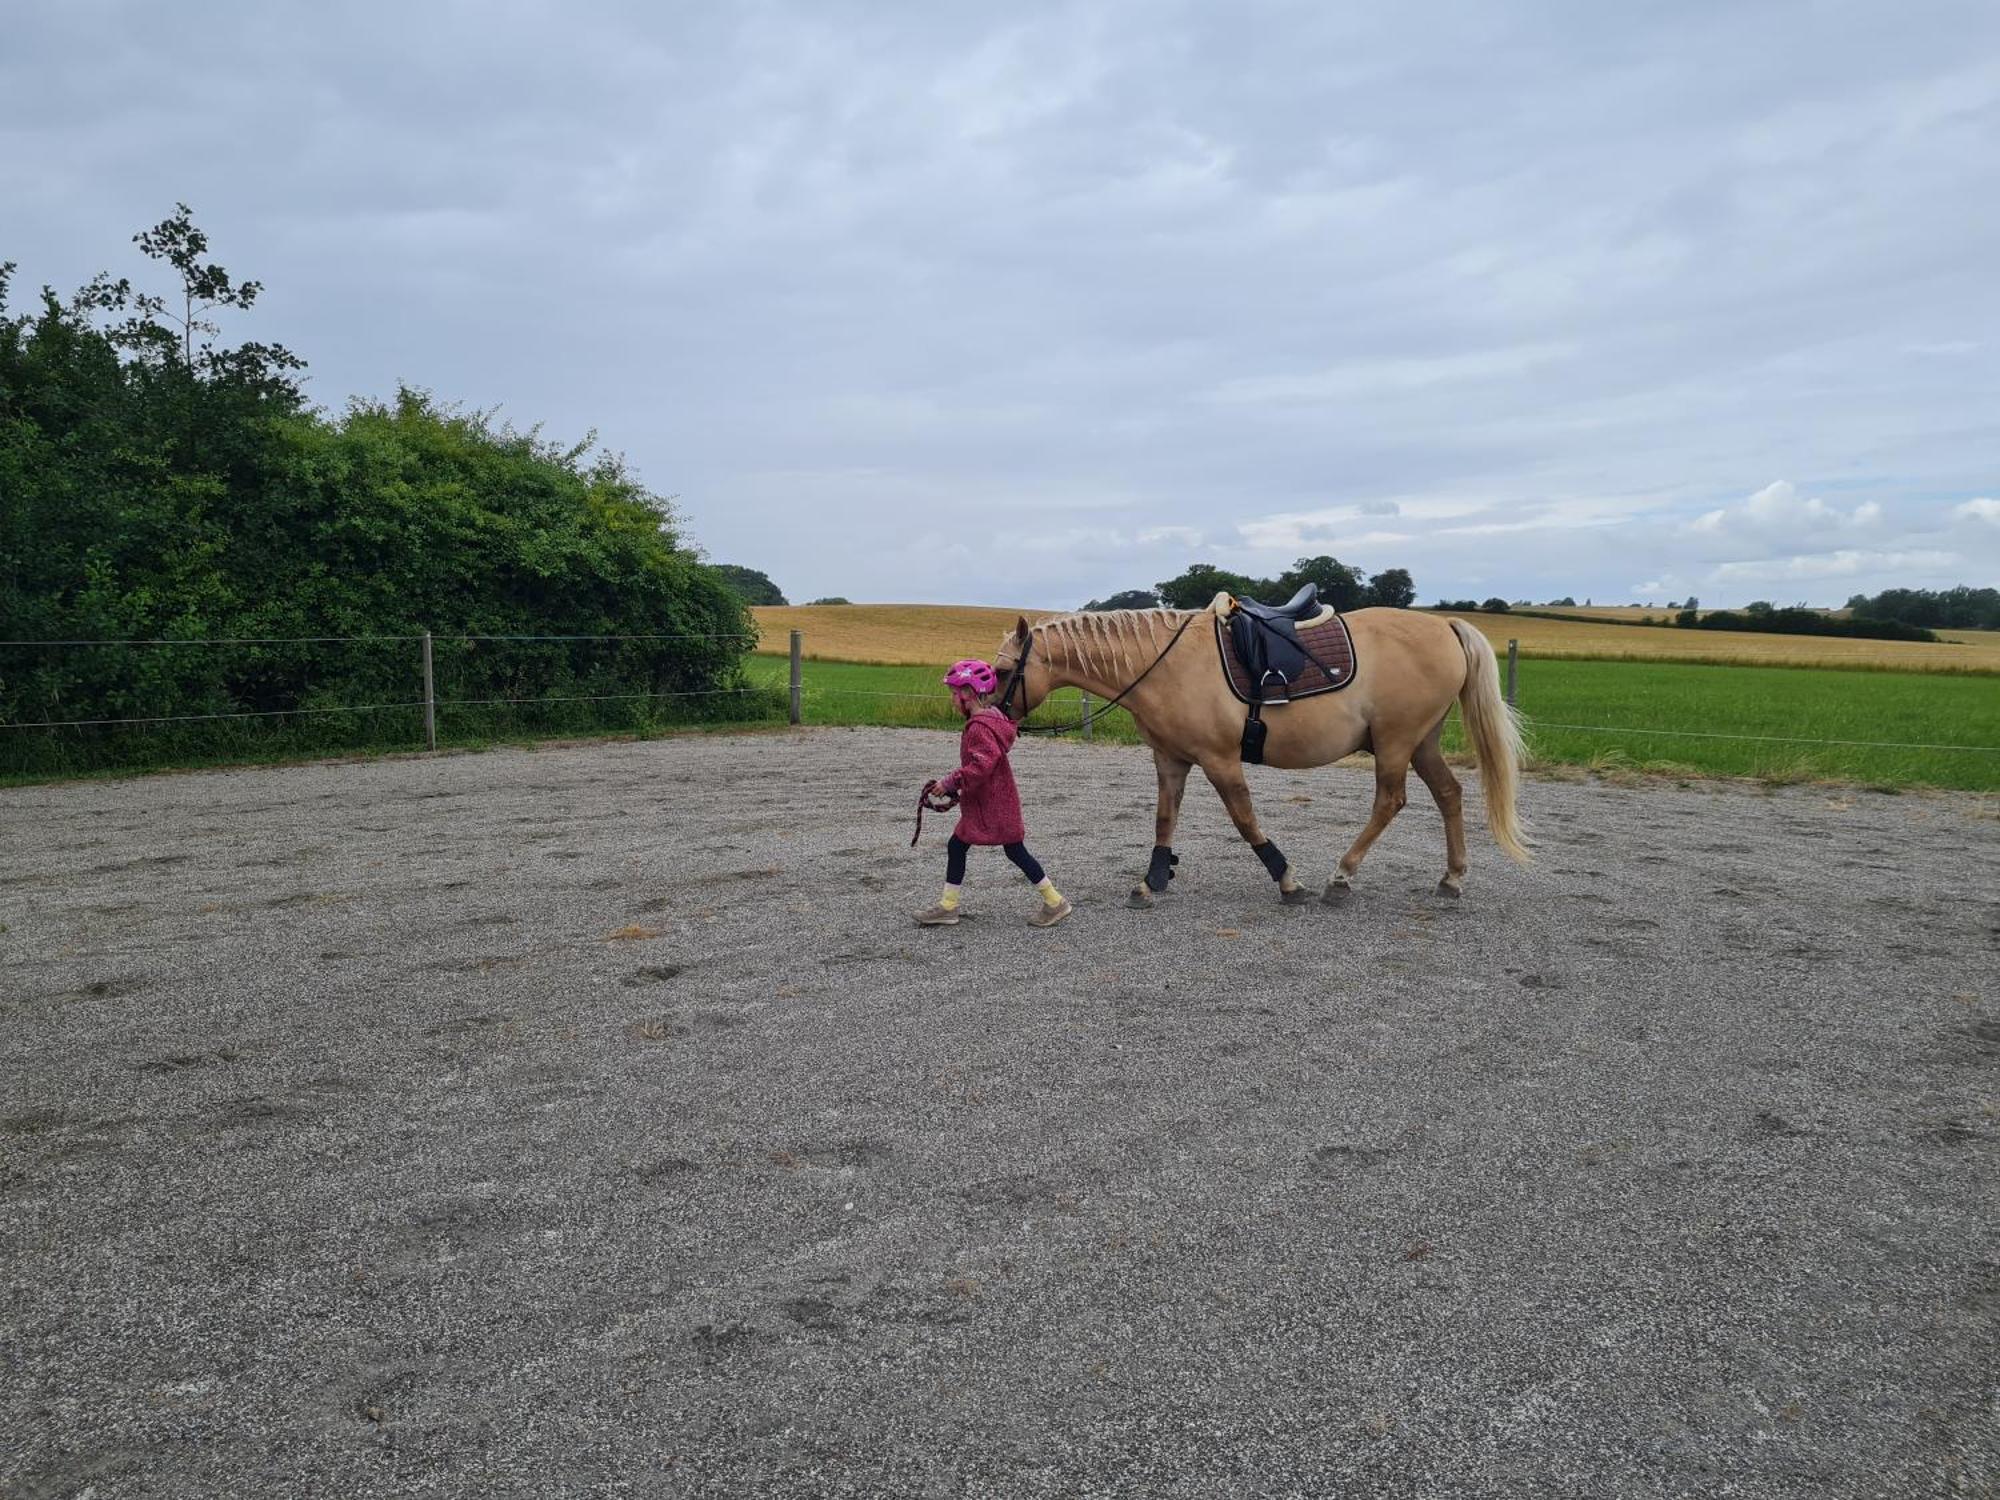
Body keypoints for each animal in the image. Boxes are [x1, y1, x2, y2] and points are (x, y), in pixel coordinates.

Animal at [988, 604, 1528, 912]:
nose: (986, 715)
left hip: (1397, 742)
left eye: (1002, 673)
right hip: (1421, 742)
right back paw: (1452, 879)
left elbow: (1245, 820)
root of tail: (1445, 625)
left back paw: (1341, 877)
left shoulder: (1219, 760)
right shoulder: (1171, 759)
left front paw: (1287, 880)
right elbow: (1164, 819)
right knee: (1449, 795)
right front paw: (1152, 880)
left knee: (1389, 803)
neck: (1164, 664)